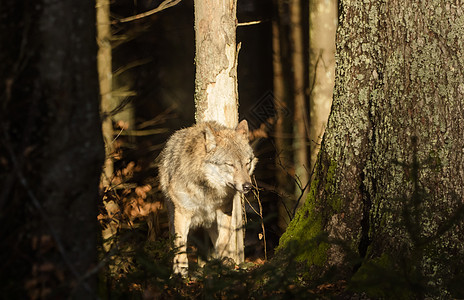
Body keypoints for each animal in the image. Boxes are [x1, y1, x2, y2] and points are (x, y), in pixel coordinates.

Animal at [160, 119, 258, 276]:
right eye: (230, 164)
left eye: (247, 163)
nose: (247, 186)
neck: (208, 191)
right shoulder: (183, 213)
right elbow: (181, 247)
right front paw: (180, 273)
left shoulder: (225, 210)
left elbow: (222, 241)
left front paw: (221, 263)